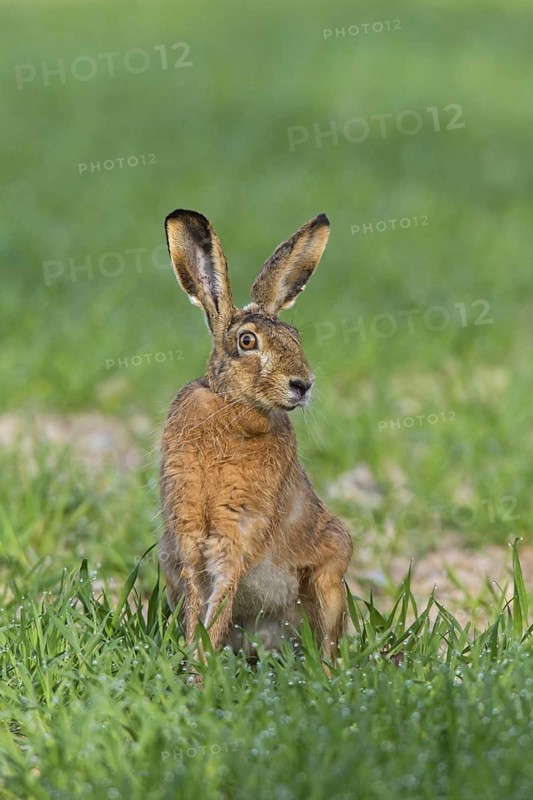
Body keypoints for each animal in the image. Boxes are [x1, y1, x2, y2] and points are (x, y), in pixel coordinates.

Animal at [159, 209, 353, 664]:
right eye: (247, 341)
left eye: (296, 337)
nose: (303, 384)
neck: (231, 408)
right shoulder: (188, 531)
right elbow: (199, 598)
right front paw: (195, 658)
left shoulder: (238, 530)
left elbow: (221, 595)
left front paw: (202, 664)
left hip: (329, 579)